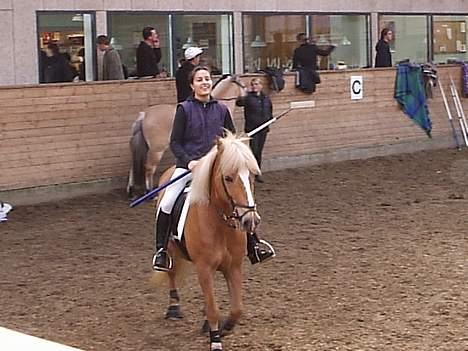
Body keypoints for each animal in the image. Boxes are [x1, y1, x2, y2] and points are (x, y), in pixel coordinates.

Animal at [156, 133, 260, 351]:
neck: (219, 223)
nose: (250, 220)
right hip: (170, 249)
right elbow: (213, 308)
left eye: (252, 176)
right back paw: (173, 308)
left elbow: (237, 308)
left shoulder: (233, 266)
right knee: (171, 272)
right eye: (228, 178)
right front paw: (216, 339)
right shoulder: (203, 267)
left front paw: (226, 327)